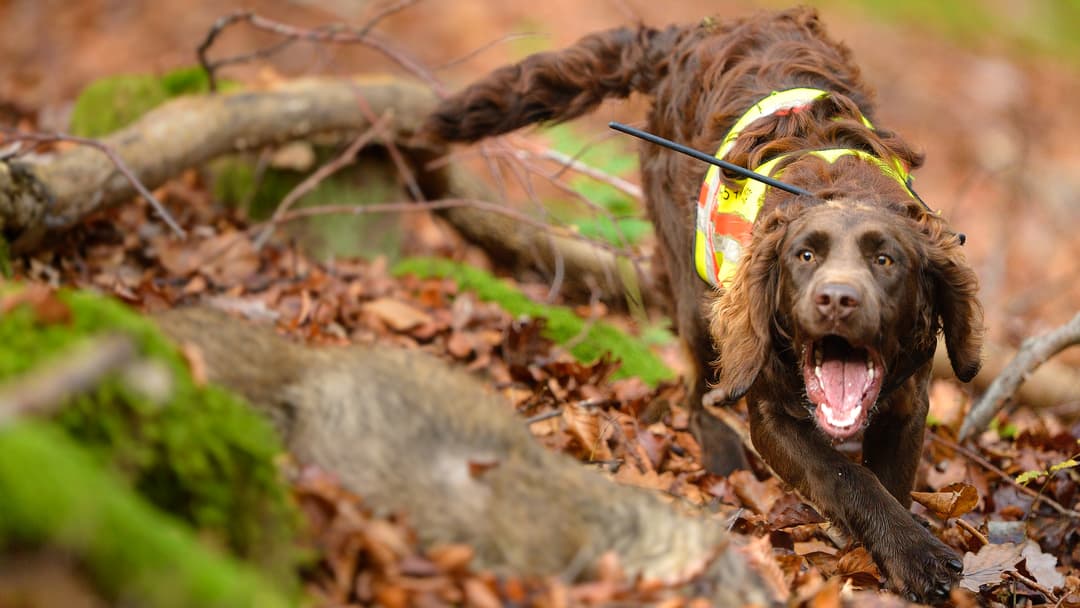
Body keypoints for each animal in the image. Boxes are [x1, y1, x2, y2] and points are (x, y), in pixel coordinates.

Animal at [421, 8, 980, 604]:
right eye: (805, 256)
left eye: (885, 260)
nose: (836, 300)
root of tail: (686, 33)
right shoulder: (771, 410)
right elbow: (848, 477)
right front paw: (918, 556)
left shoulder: (908, 401)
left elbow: (889, 480)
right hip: (697, 299)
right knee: (694, 384)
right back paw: (716, 445)